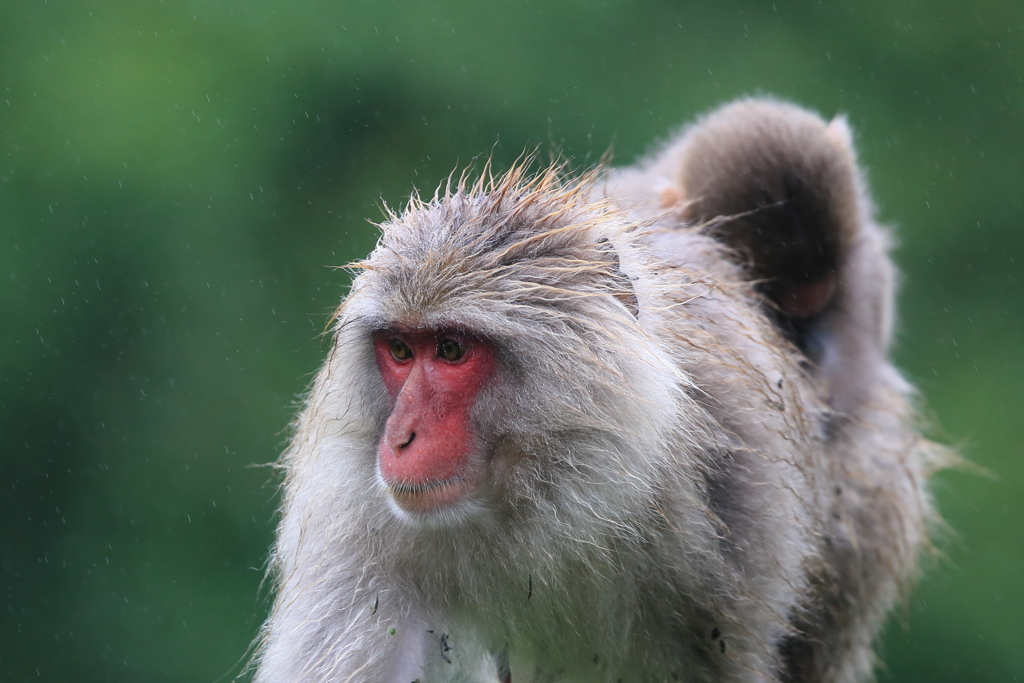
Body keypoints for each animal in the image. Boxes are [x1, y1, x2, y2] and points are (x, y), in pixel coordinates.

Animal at [253, 97, 942, 683]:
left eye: (451, 350)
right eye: (400, 351)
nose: (400, 437)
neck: (553, 495)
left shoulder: (745, 499)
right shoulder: (361, 522)